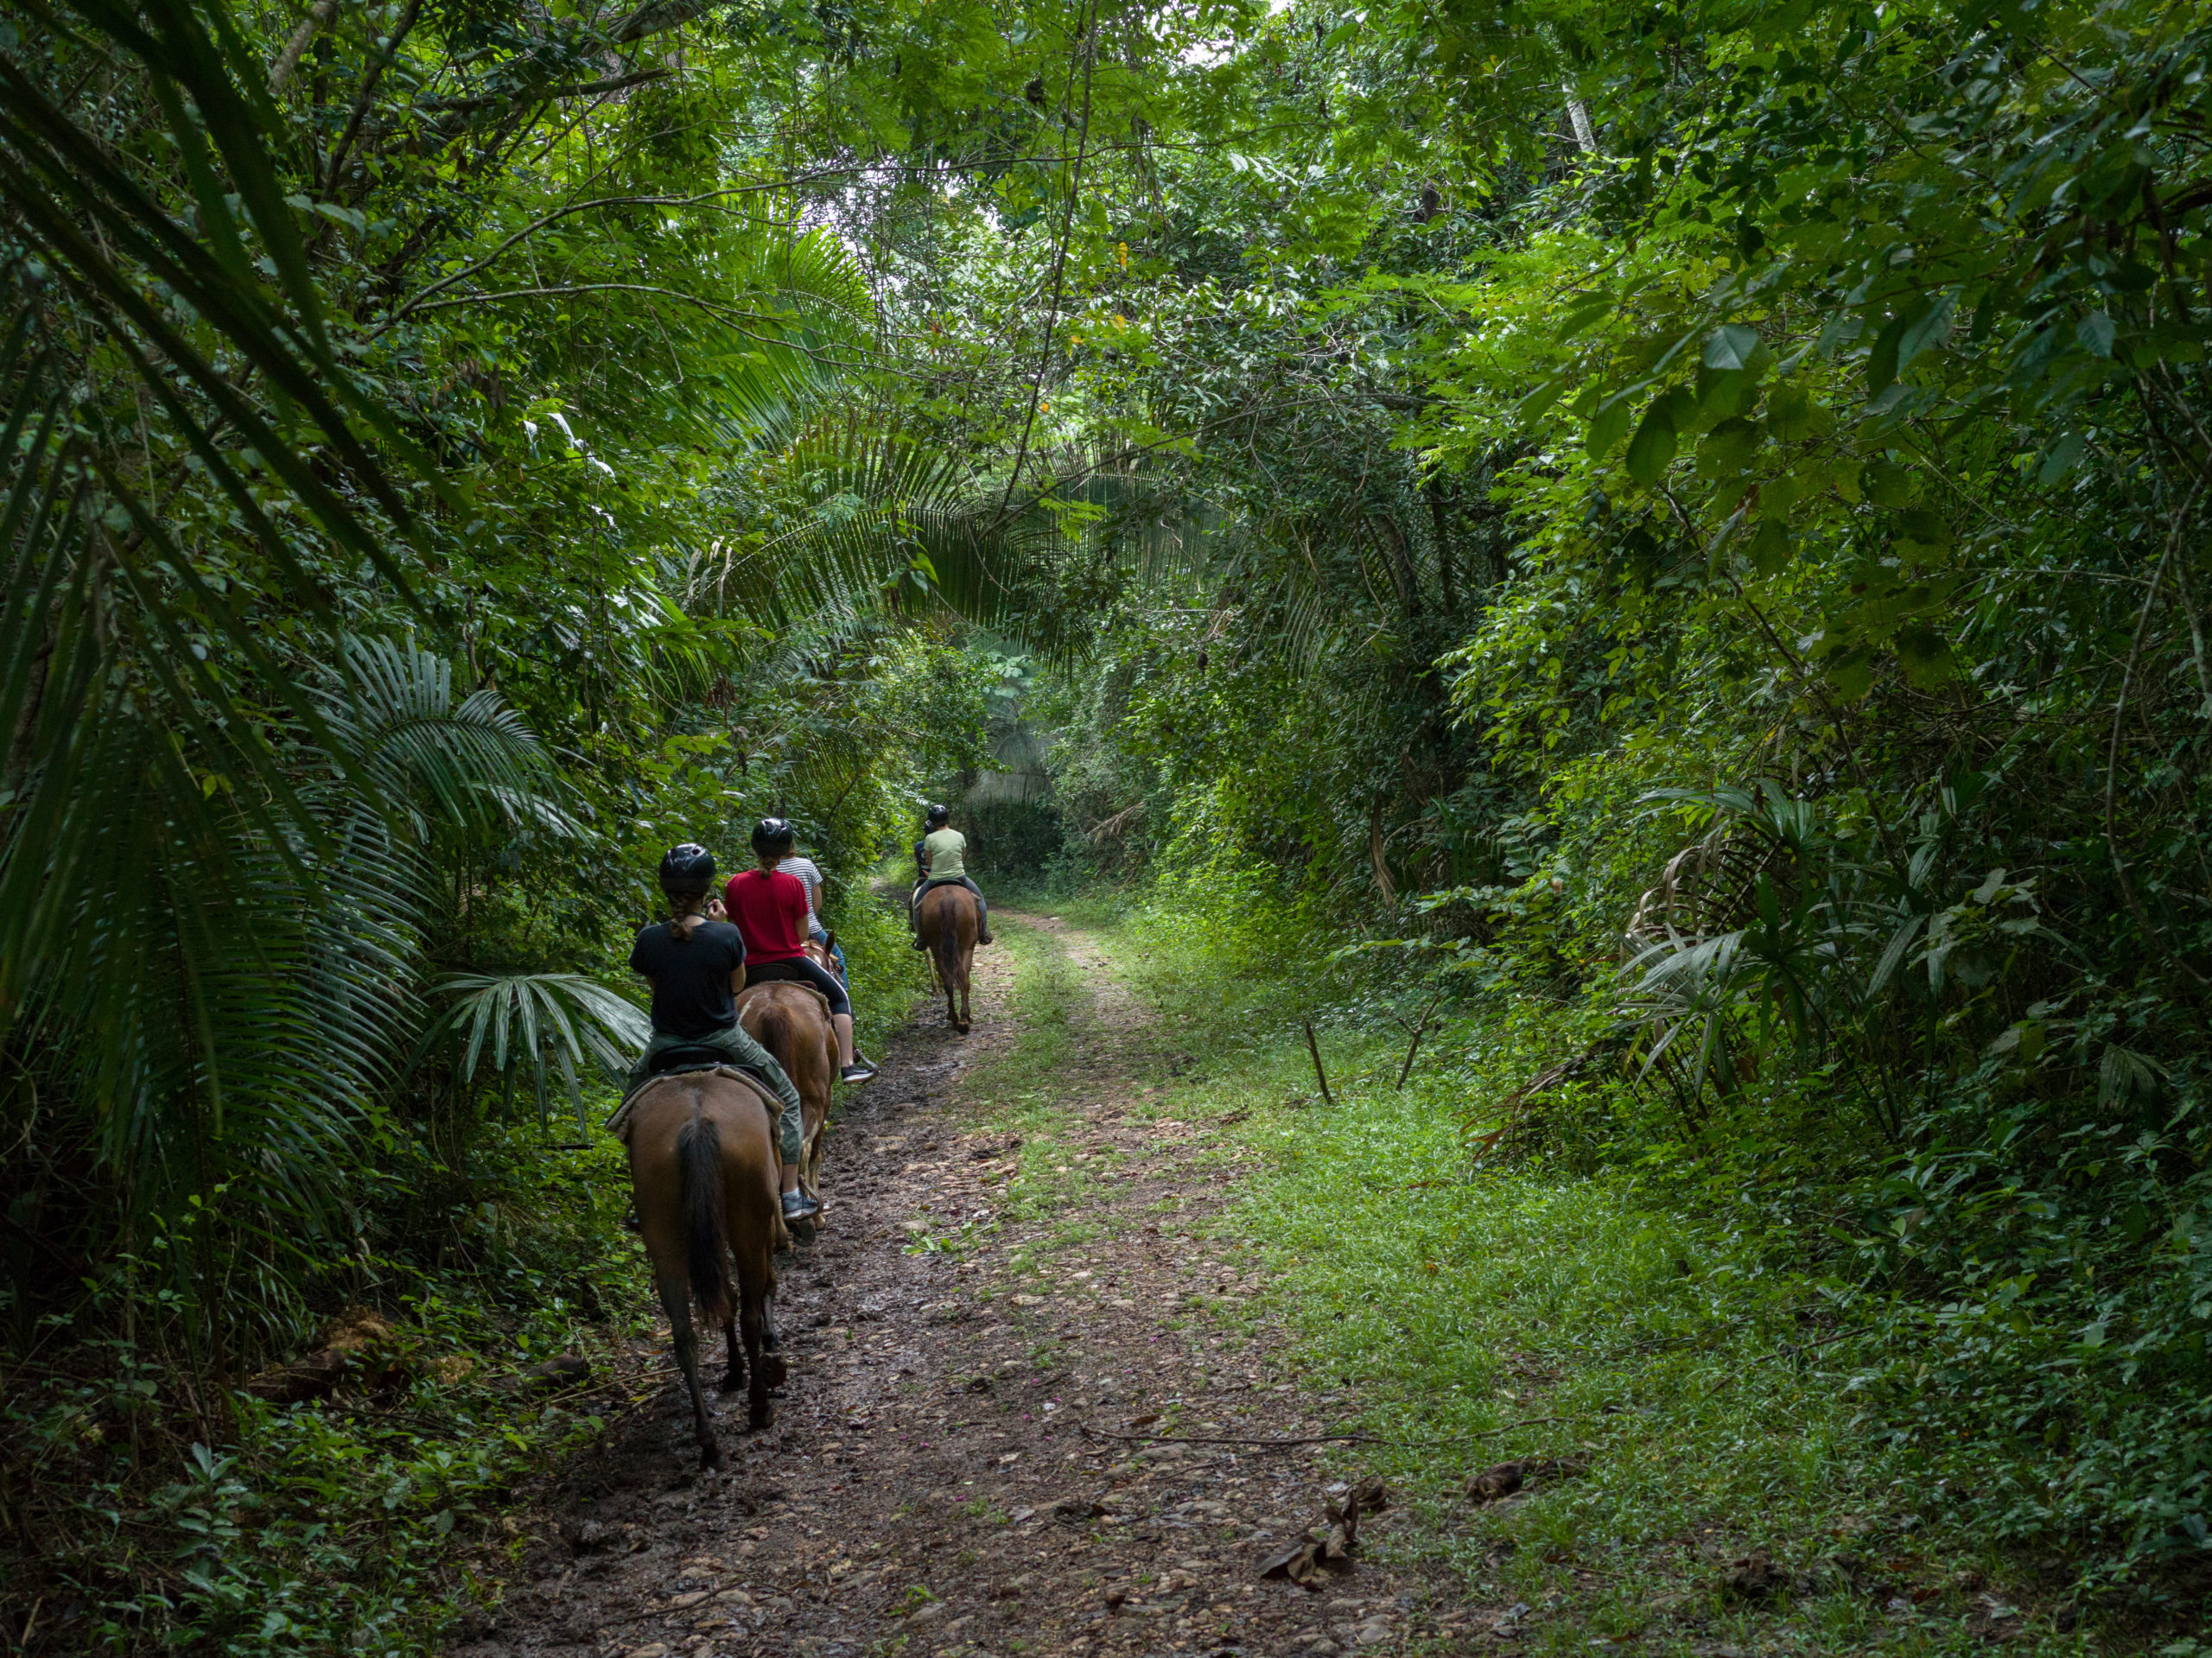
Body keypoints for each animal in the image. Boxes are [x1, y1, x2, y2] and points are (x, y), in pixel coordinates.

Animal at [623, 1070, 787, 1477]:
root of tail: (697, 1123)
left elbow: (723, 1299)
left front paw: (733, 1371)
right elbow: (755, 1292)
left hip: (664, 1240)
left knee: (685, 1337)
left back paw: (709, 1443)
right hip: (746, 1225)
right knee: (748, 1317)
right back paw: (760, 1407)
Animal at [734, 986, 836, 1237]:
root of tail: (774, 1011)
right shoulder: (827, 1097)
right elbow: (815, 1154)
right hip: (813, 1099)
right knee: (804, 1147)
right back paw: (810, 1216)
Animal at [919, 888, 982, 1034]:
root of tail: (947, 900)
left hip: (938, 947)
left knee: (948, 981)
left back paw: (956, 1018)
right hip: (967, 946)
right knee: (963, 979)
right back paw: (964, 1019)